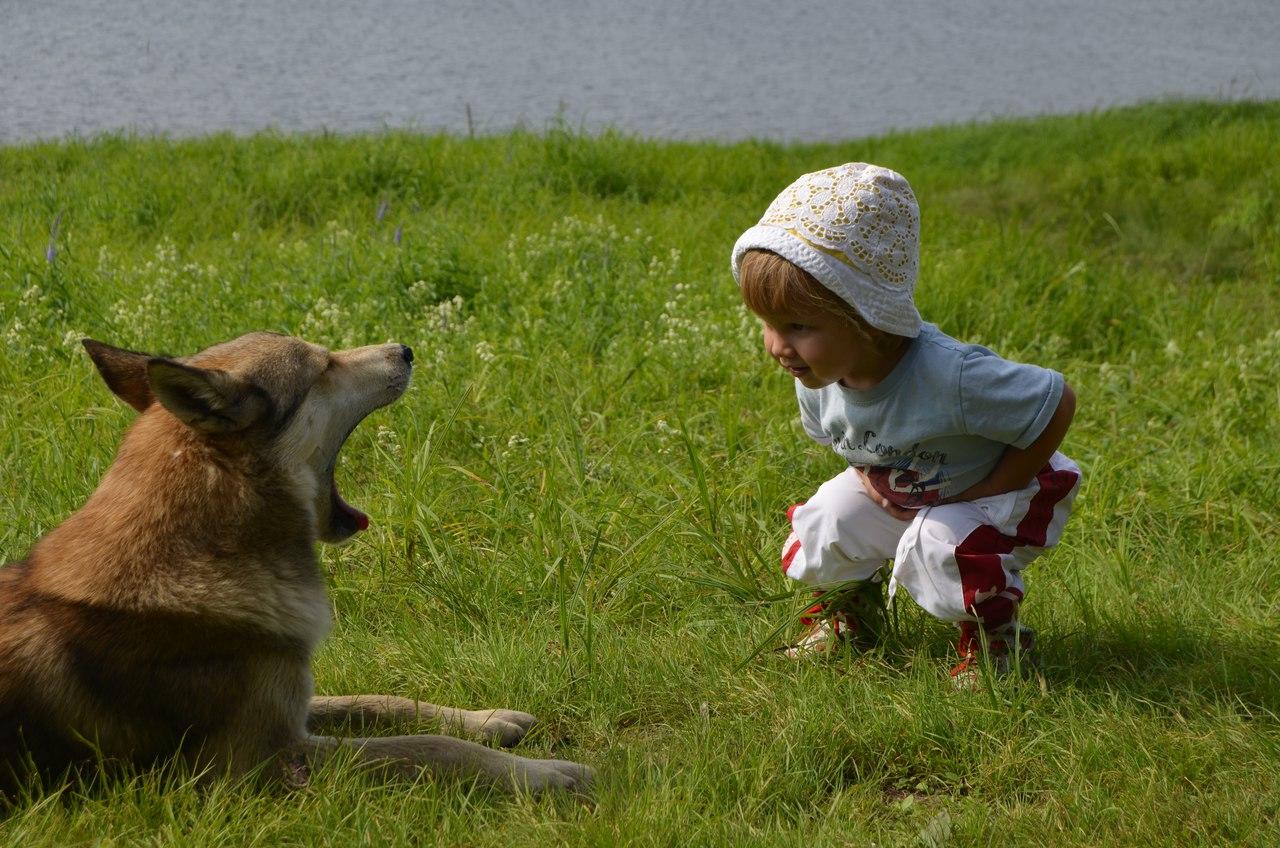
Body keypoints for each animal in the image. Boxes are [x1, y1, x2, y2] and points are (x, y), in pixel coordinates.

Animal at [0, 333, 588, 799]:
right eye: (322, 367)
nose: (404, 349)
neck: (198, 555)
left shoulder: (291, 702)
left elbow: (381, 701)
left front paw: (486, 720)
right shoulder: (257, 761)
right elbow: (425, 748)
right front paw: (542, 774)